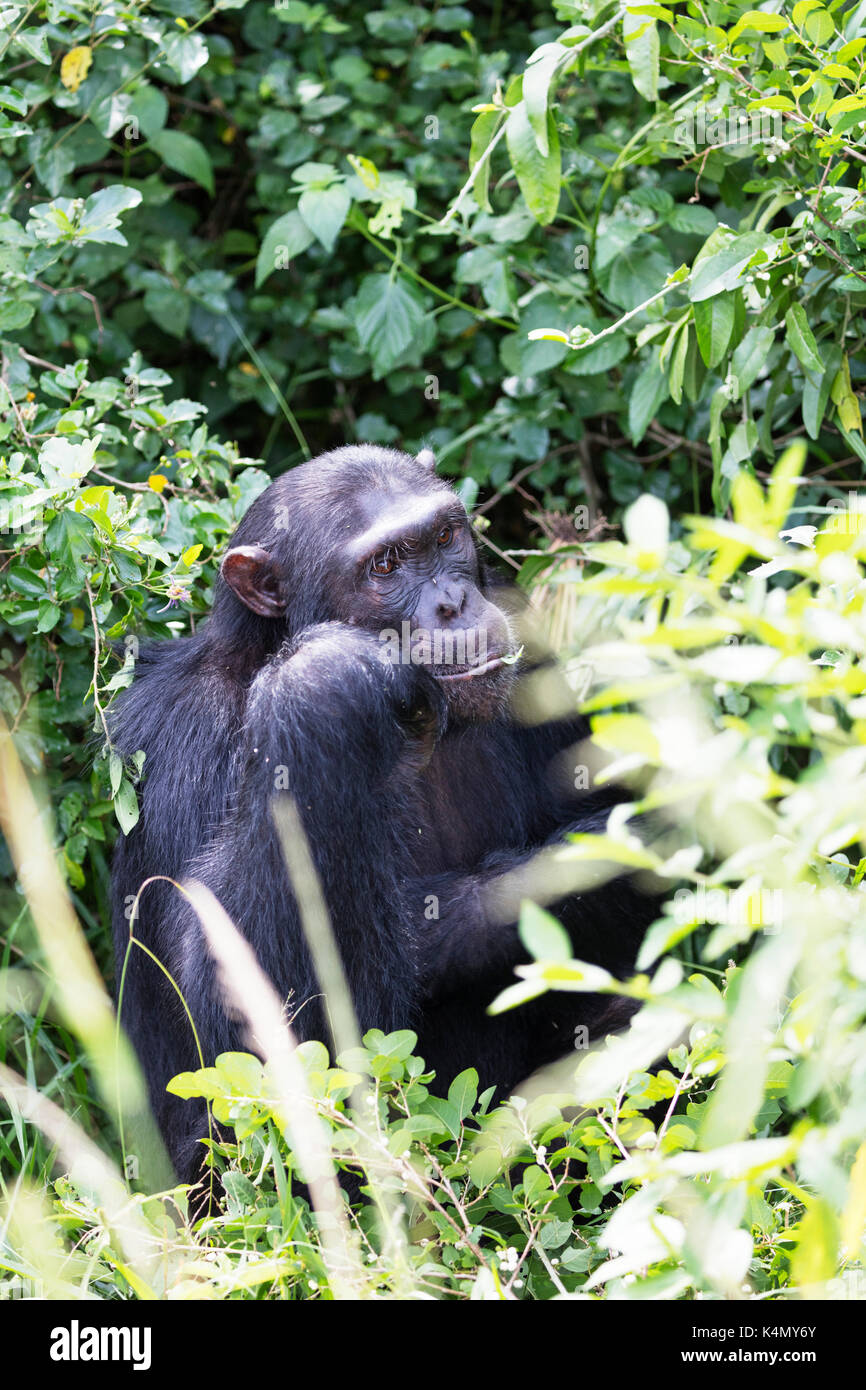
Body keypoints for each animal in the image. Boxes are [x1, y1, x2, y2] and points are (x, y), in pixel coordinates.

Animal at [113, 447, 656, 1184]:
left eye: (444, 537)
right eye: (384, 567)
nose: (452, 603)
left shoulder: (527, 632)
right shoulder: (182, 744)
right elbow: (240, 1041)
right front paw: (325, 675)